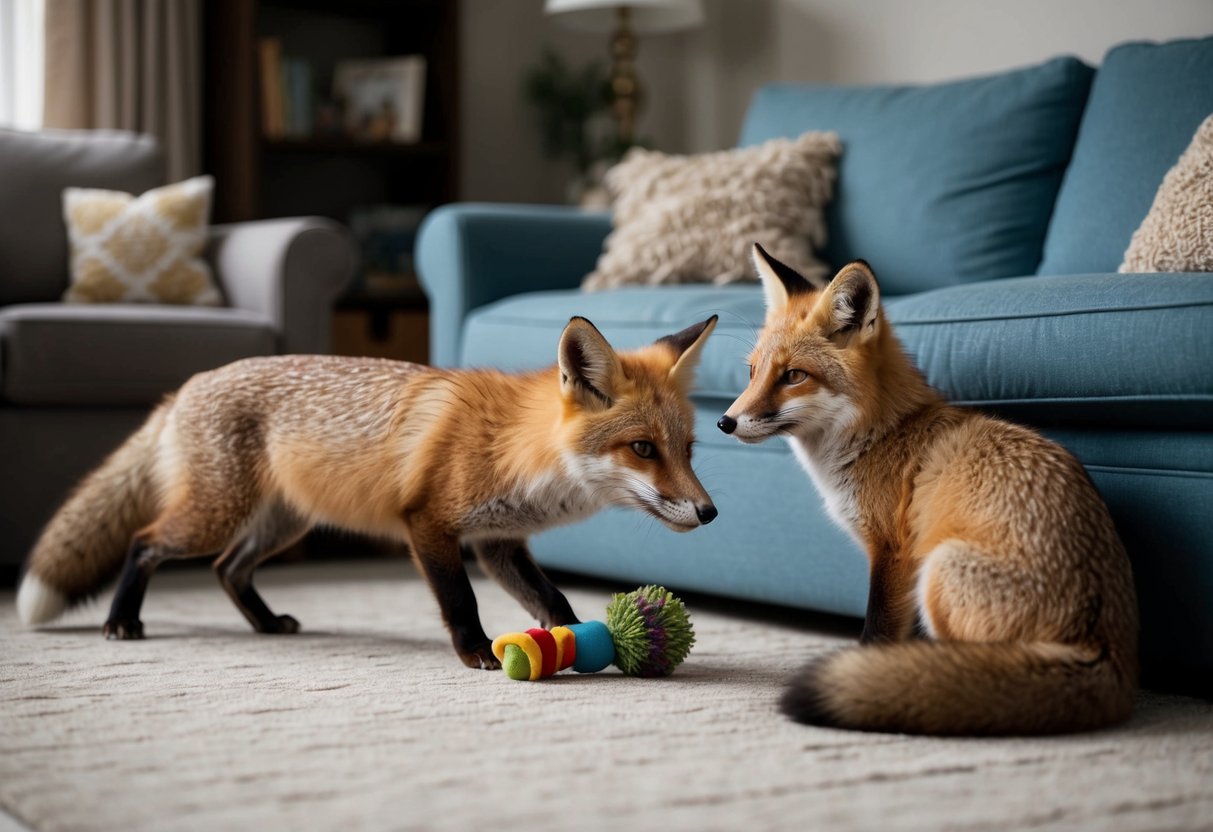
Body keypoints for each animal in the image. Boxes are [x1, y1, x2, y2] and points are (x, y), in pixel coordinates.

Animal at [17, 315, 719, 669]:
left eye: (688, 450)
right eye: (643, 449)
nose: (710, 512)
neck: (516, 448)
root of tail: (186, 386)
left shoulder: (498, 542)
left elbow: (554, 600)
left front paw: (580, 641)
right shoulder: (430, 525)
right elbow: (459, 599)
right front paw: (476, 653)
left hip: (282, 523)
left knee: (226, 570)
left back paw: (266, 623)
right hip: (215, 516)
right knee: (144, 543)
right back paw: (121, 621)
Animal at [717, 244, 1138, 735]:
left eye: (793, 376)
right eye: (752, 372)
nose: (724, 422)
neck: (882, 434)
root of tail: (1107, 654)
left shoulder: (894, 552)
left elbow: (878, 631)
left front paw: (873, 672)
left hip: (938, 570)